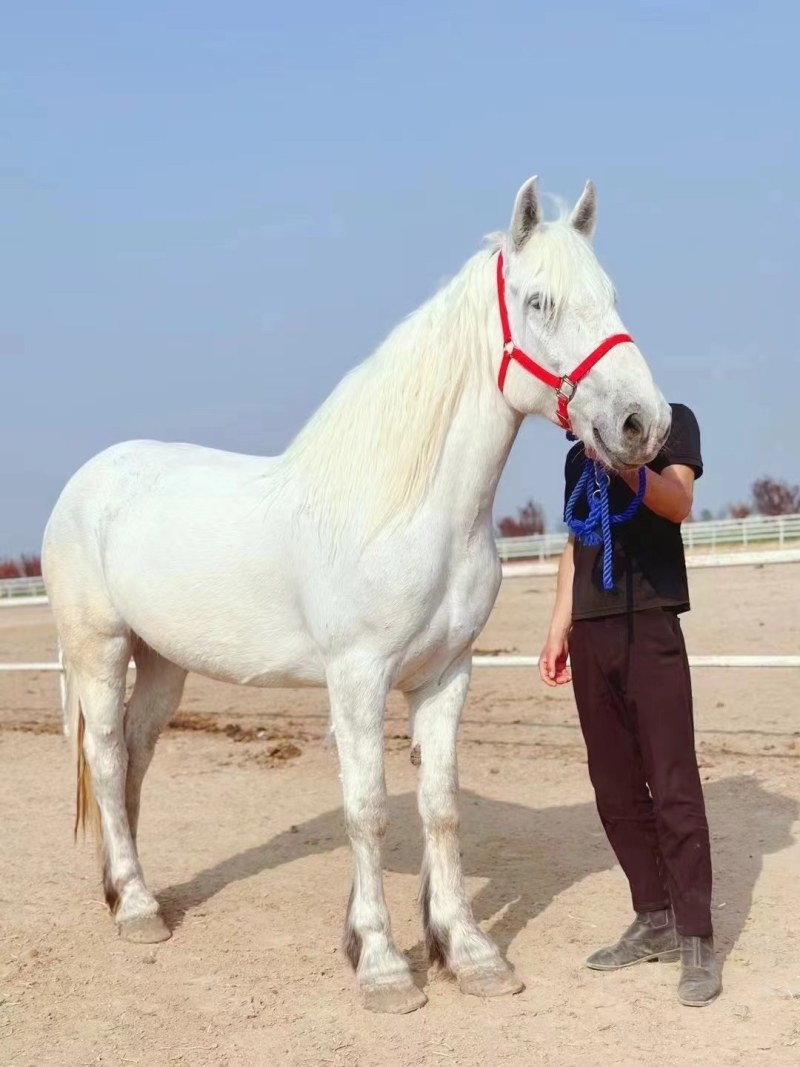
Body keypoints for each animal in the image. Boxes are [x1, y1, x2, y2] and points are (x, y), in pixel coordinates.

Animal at [42, 176, 671, 1014]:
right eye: (539, 301)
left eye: (611, 294)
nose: (643, 423)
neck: (408, 506)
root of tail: (88, 480)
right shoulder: (358, 676)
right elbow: (367, 809)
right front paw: (381, 963)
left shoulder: (447, 675)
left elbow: (440, 806)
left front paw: (468, 953)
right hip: (101, 650)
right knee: (108, 759)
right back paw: (138, 910)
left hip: (166, 661)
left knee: (137, 759)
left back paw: (127, 889)